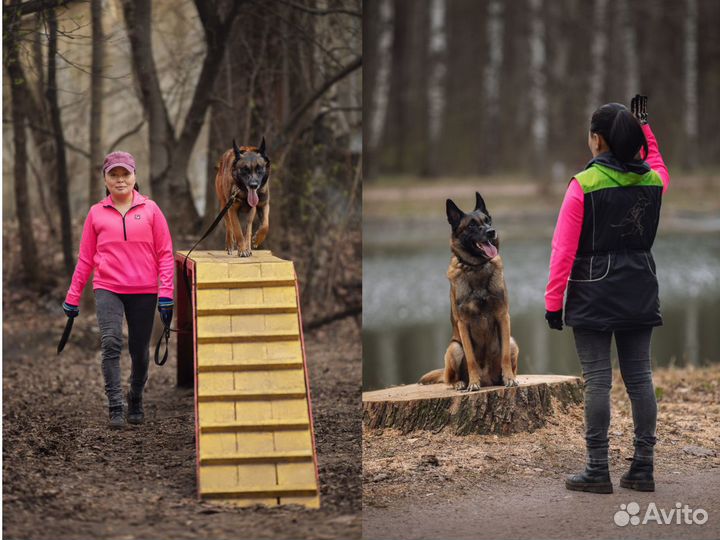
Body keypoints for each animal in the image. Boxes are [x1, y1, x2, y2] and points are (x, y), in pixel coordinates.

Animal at [420, 192, 520, 390]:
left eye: (488, 220)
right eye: (471, 225)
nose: (491, 231)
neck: (477, 268)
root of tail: (488, 380)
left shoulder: (503, 317)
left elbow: (504, 355)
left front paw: (509, 378)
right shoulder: (463, 323)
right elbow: (471, 359)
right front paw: (473, 383)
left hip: (513, 342)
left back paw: (503, 378)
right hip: (454, 348)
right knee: (448, 379)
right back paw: (461, 383)